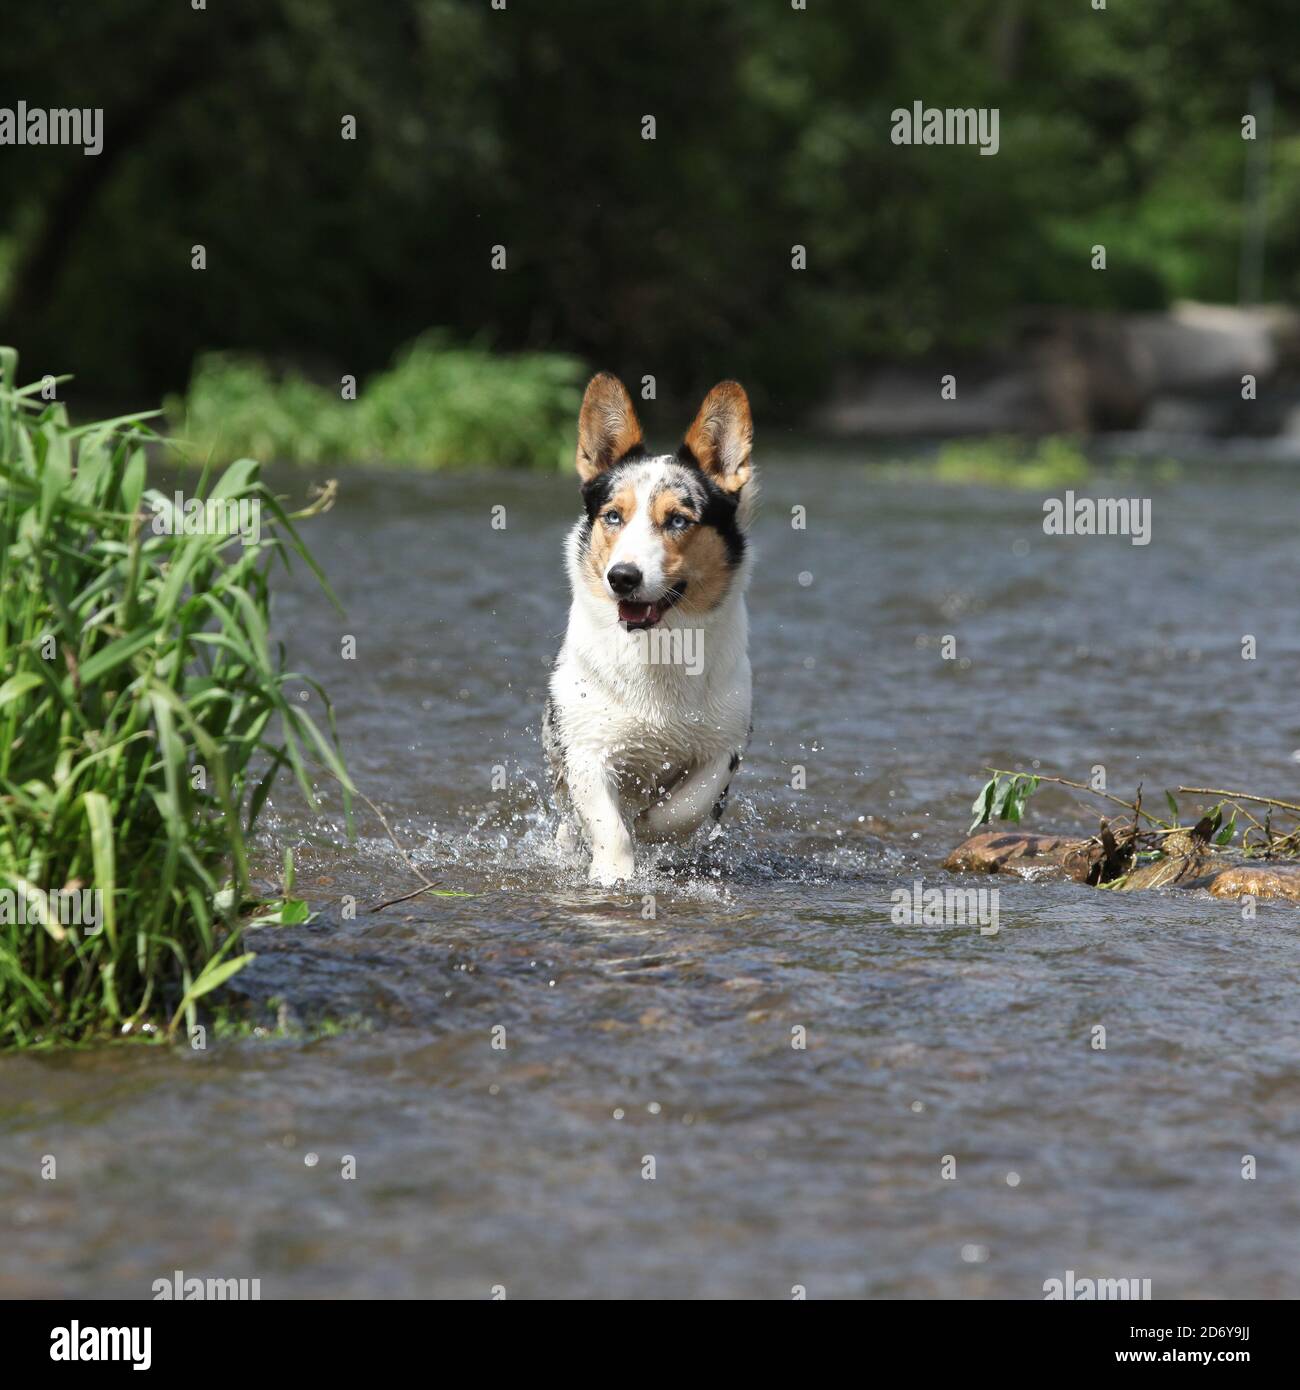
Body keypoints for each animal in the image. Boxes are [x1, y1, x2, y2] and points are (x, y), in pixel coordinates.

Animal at [545, 375, 756, 884]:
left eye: (678, 519)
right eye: (613, 516)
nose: (622, 577)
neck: (657, 646)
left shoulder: (723, 747)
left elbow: (684, 809)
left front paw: (650, 828)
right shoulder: (586, 749)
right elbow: (610, 826)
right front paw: (614, 876)